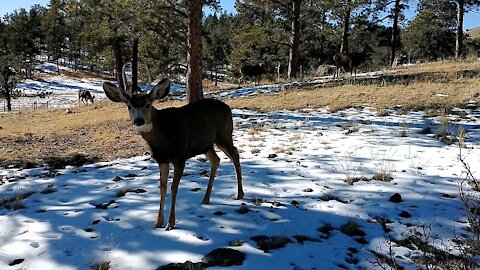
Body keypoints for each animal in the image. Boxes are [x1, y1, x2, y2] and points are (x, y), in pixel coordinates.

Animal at [101, 66, 244, 229]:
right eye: (129, 106)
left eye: (148, 105)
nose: (139, 121)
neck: (162, 138)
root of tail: (227, 107)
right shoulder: (161, 159)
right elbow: (162, 187)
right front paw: (158, 222)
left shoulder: (180, 155)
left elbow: (174, 187)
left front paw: (171, 222)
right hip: (206, 144)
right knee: (216, 160)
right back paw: (205, 199)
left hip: (224, 135)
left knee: (235, 155)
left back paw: (240, 194)